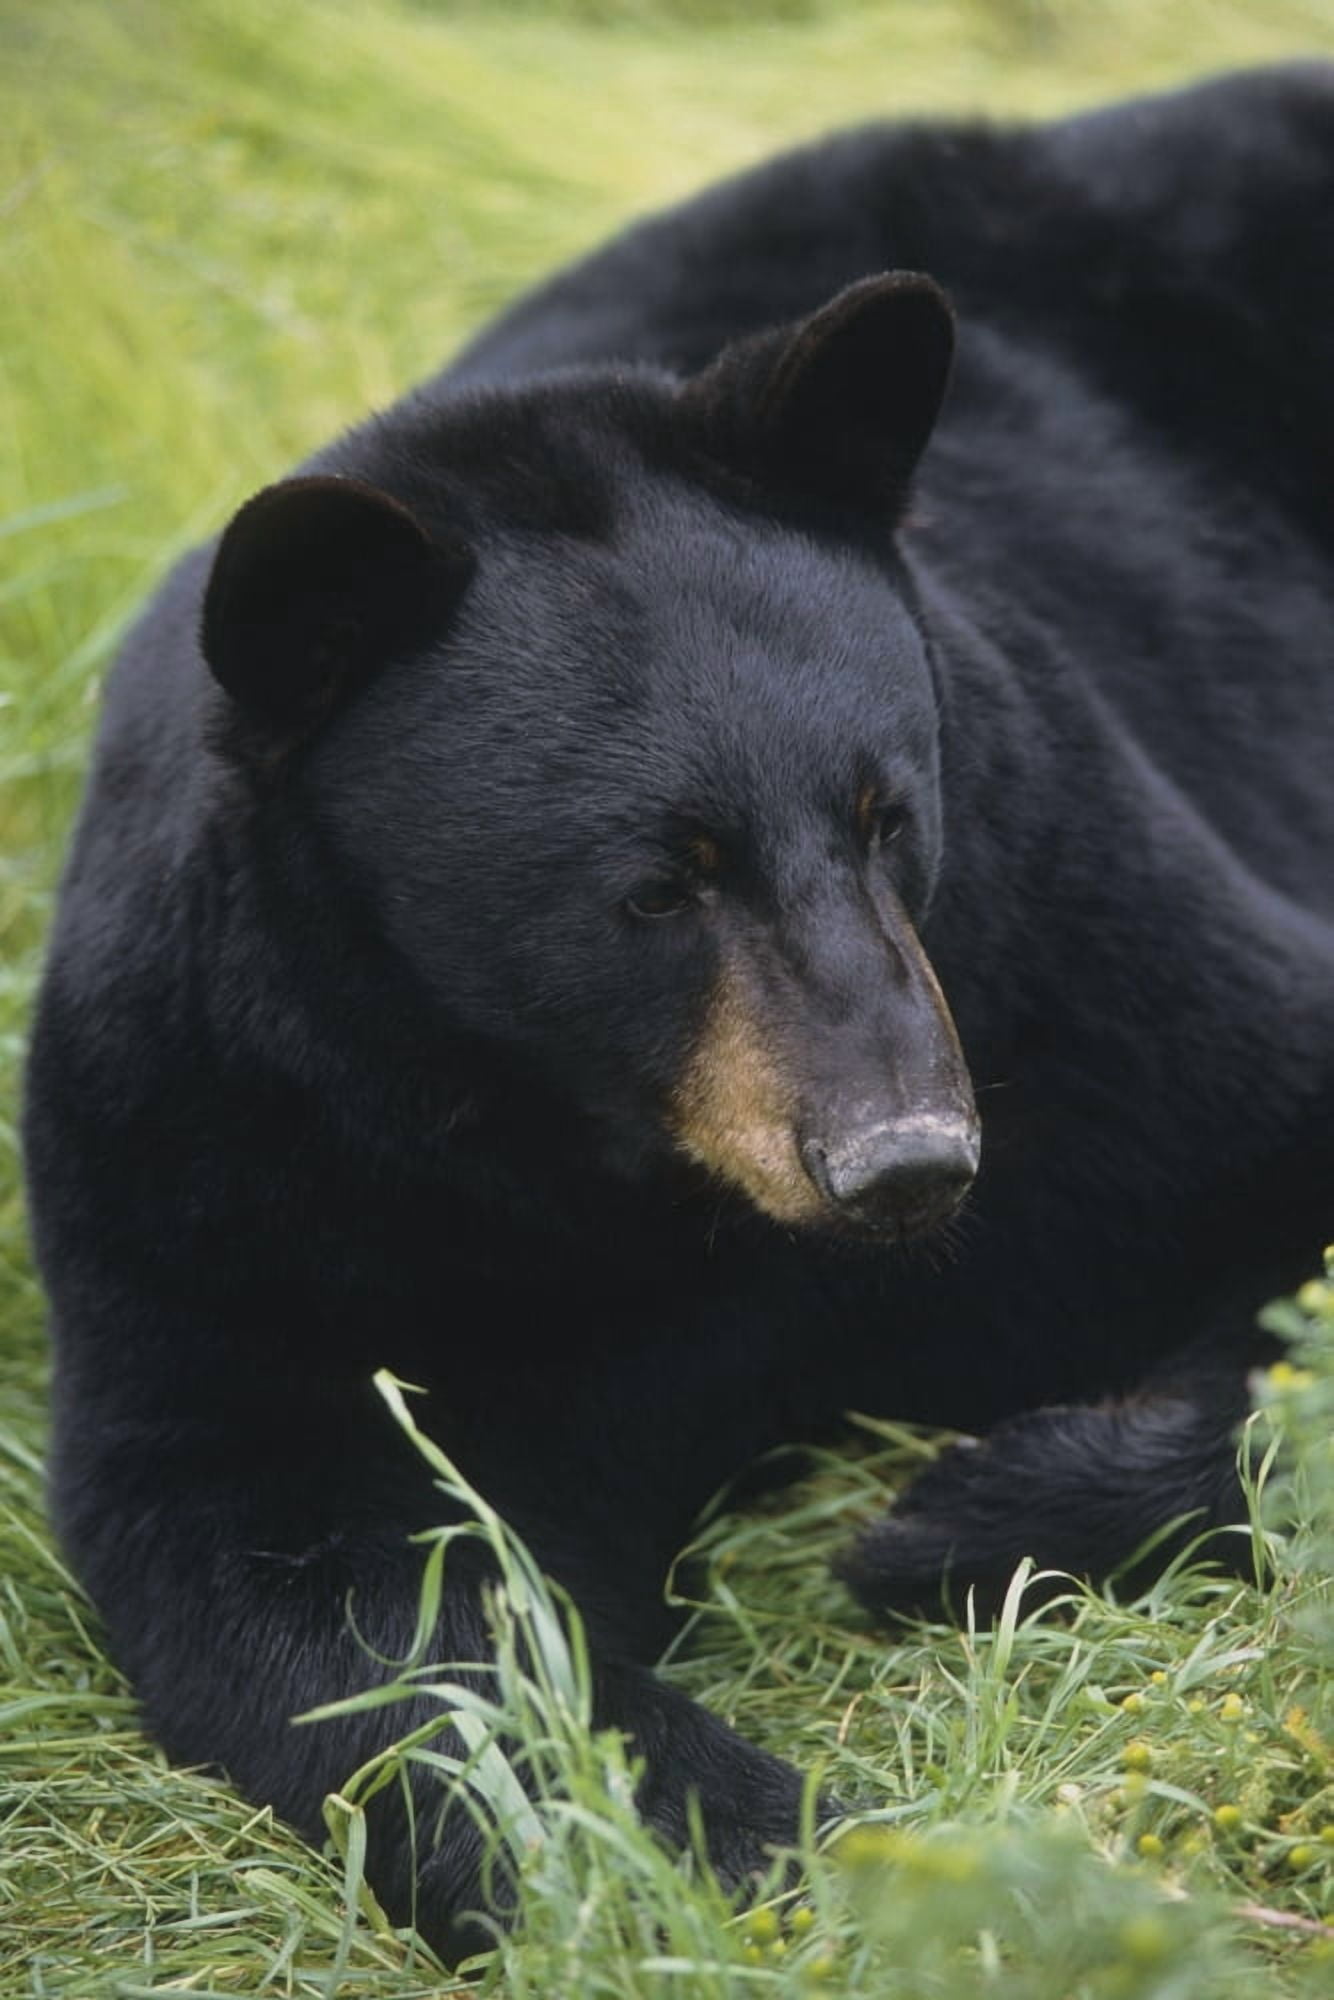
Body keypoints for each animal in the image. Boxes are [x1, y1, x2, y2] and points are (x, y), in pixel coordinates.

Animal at [22, 63, 1334, 1957]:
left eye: (885, 813)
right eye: (651, 887)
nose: (905, 1162)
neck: (621, 1168)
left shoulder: (1068, 946)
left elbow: (1260, 1144)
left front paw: (964, 1507)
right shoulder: (231, 1142)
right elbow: (300, 1562)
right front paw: (765, 1848)